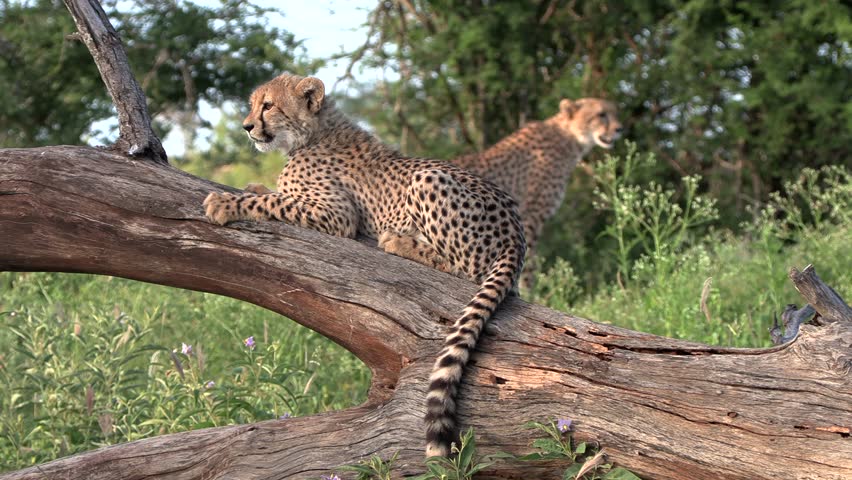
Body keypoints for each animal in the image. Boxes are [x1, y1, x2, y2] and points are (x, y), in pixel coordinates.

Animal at [202, 73, 526, 458]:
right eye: (253, 105)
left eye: (268, 105)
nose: (247, 126)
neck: (314, 131)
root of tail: (516, 231)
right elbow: (273, 194)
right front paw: (253, 186)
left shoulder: (337, 215)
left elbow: (273, 203)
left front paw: (226, 203)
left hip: (429, 179)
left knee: (466, 268)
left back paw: (396, 241)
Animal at [452, 98, 623, 289]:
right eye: (601, 114)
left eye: (616, 113)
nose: (620, 129)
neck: (569, 138)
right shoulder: (531, 217)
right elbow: (528, 264)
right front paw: (528, 289)